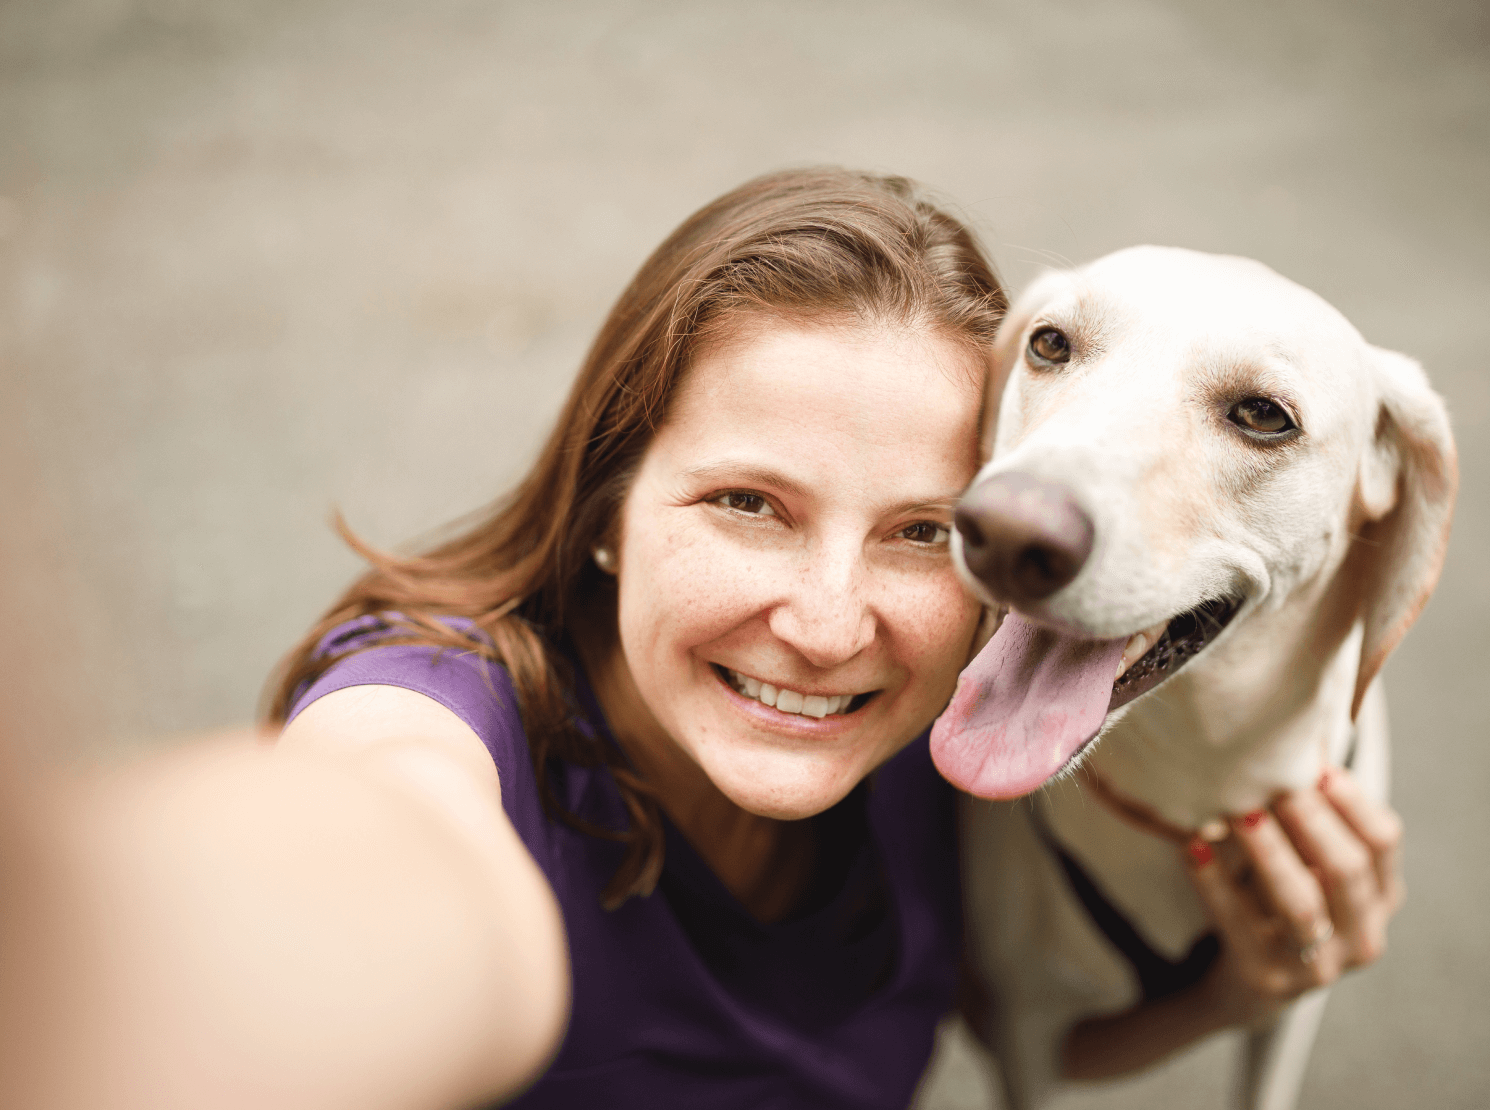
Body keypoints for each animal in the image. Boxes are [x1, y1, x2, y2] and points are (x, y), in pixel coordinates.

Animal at [935, 247, 1460, 1108]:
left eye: (1264, 415)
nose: (1006, 535)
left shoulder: (1286, 1013)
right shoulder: (1026, 1028)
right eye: (1049, 344)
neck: (1198, 779)